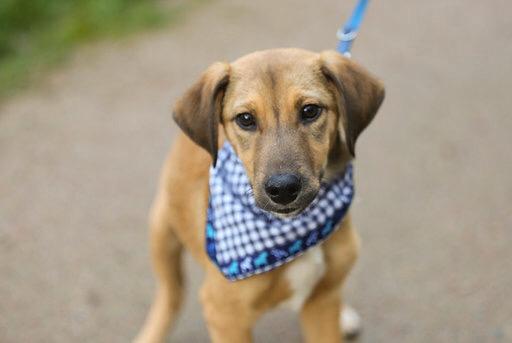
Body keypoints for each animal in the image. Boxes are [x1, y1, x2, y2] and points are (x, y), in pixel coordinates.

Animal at [135, 49, 384, 343]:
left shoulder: (321, 303)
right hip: (162, 230)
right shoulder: (225, 315)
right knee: (171, 294)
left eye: (310, 111)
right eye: (245, 119)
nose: (283, 189)